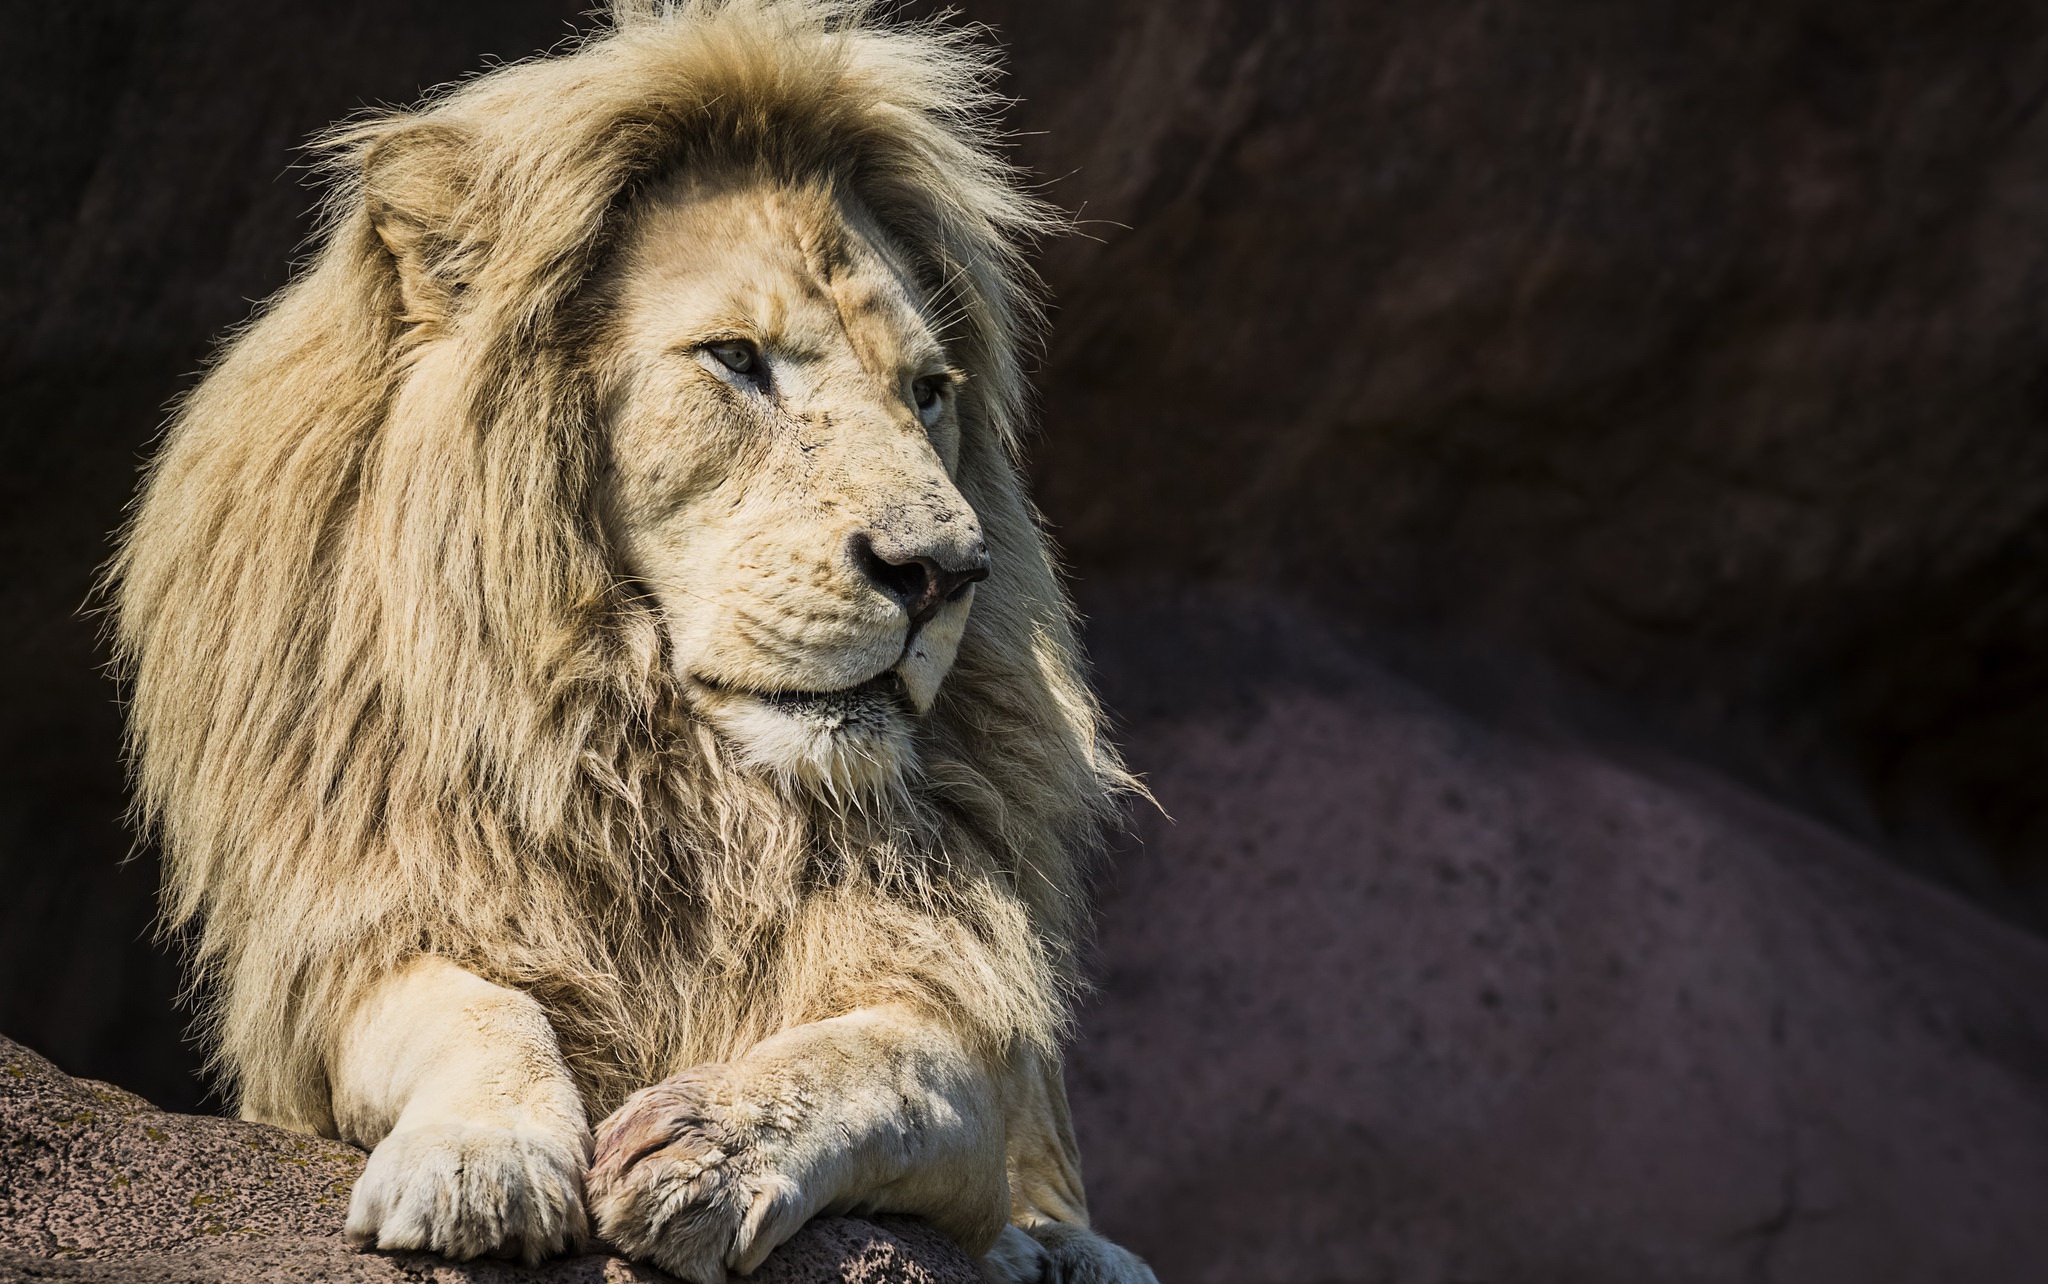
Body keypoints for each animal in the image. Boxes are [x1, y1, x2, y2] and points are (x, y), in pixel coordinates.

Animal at [106, 3, 1153, 1280]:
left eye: (925, 392)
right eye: (737, 359)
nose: (943, 573)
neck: (664, 768)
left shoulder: (964, 1030)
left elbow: (898, 1056)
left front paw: (713, 1146)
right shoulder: (347, 962)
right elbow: (474, 1008)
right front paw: (479, 1162)